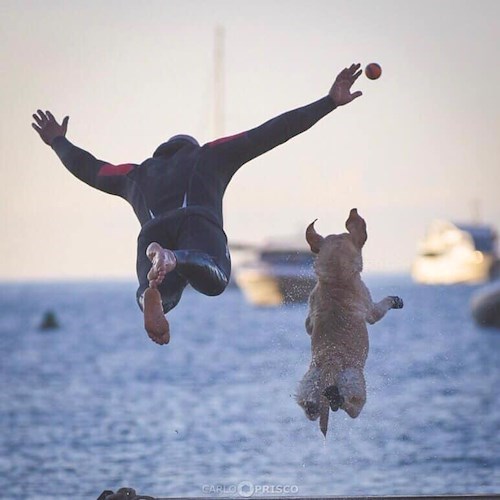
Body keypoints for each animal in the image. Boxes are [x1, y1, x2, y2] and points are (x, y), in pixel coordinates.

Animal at [296, 207, 402, 434]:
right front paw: (394, 300)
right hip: (357, 389)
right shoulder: (371, 310)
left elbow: (308, 325)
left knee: (312, 410)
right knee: (350, 407)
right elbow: (382, 306)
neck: (336, 278)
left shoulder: (310, 313)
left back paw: (315, 405)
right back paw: (336, 398)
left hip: (306, 387)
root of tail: (331, 367)